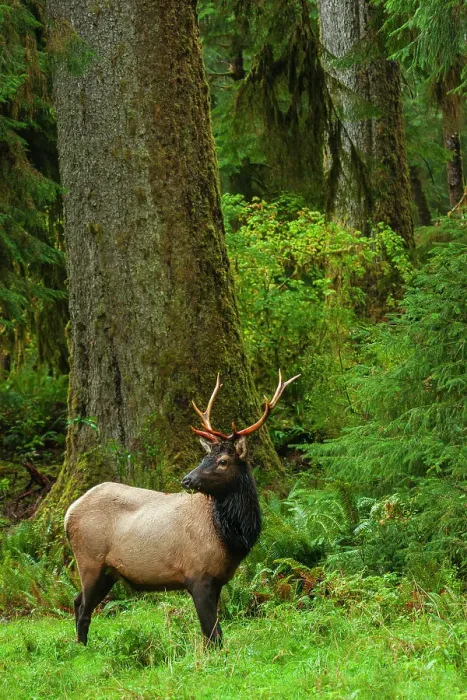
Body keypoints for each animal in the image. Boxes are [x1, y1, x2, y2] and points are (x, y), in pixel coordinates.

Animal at [65, 371, 299, 646]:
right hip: (90, 560)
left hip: (108, 572)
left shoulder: (218, 579)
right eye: (204, 457)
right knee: (83, 607)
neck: (230, 537)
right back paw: (83, 648)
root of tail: (68, 513)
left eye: (222, 461)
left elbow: (212, 632)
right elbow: (213, 633)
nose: (187, 479)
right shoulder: (197, 574)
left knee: (77, 600)